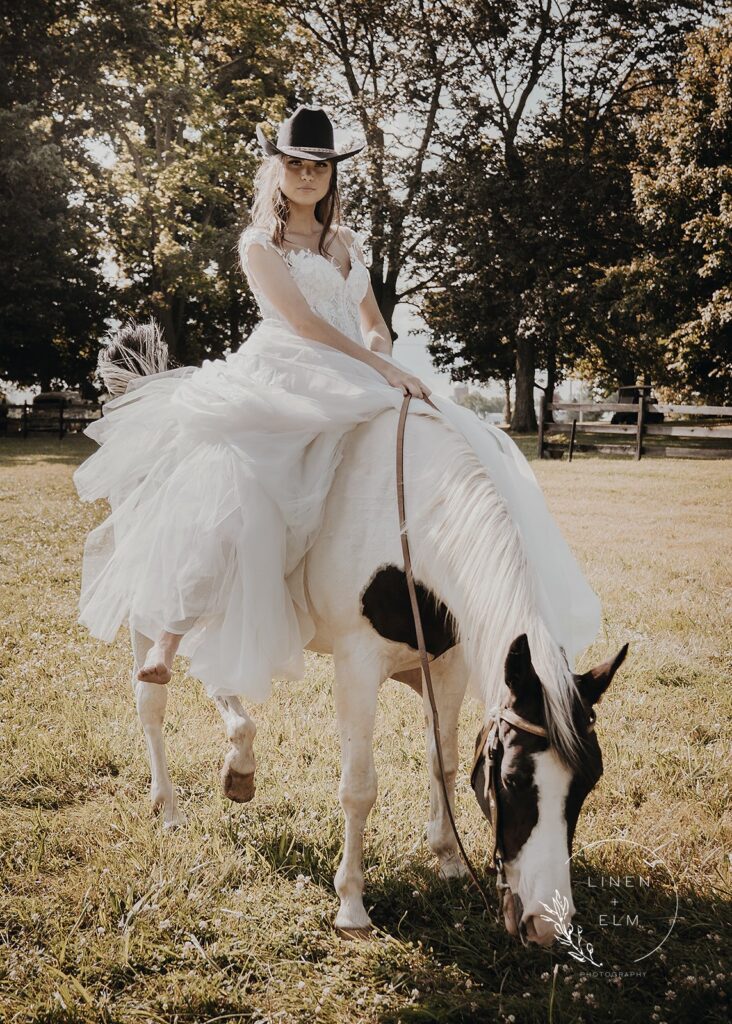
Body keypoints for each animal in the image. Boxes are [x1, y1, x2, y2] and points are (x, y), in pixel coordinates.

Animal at [130, 403, 622, 946]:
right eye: (511, 781)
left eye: (589, 781)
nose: (548, 925)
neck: (410, 522)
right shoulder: (357, 666)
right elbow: (359, 787)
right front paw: (351, 905)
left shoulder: (448, 666)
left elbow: (443, 762)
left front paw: (448, 857)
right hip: (154, 607)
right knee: (153, 700)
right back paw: (168, 806)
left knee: (221, 674)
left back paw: (239, 765)